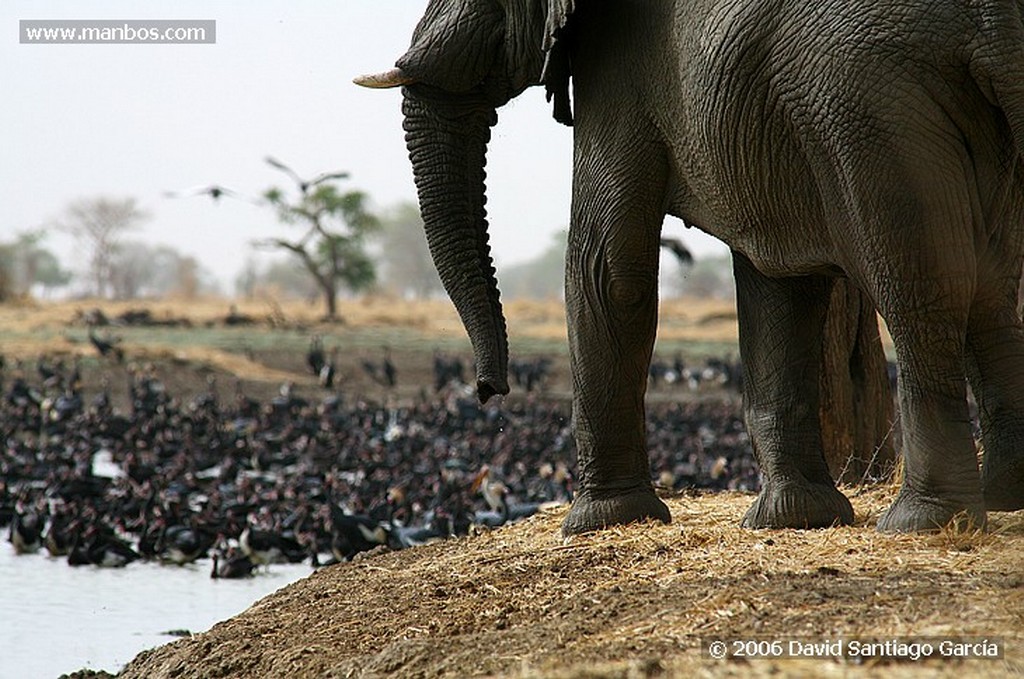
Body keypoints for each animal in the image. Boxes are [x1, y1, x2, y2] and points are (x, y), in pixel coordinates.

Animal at [356, 0, 1024, 536]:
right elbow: (775, 279)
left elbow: (606, 269)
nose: (488, 390)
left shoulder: (622, 61)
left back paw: (925, 523)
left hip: (870, 105)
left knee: (920, 288)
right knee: (991, 291)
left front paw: (602, 523)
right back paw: (1005, 501)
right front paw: (793, 520)